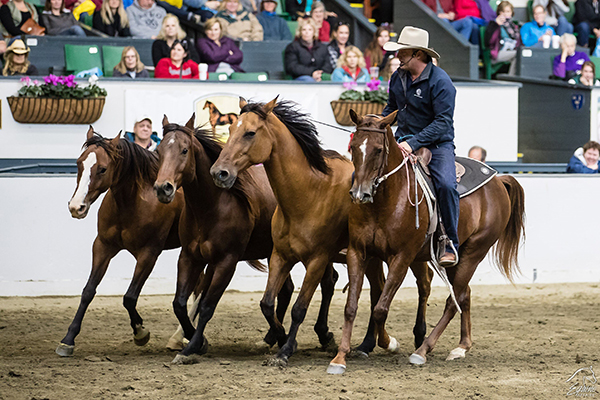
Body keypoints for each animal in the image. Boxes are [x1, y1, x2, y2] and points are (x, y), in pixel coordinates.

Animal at [59, 127, 186, 356]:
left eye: (102, 169)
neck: (135, 201)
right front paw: (68, 339)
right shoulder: (102, 246)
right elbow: (88, 291)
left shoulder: (148, 254)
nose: (76, 207)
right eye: (79, 163)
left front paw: (141, 333)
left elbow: (129, 297)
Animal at [209, 98, 434, 368]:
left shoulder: (317, 260)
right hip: (371, 258)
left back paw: (416, 337)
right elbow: (267, 304)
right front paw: (279, 337)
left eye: (250, 133)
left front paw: (285, 350)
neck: (309, 192)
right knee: (378, 290)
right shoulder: (280, 256)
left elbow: (299, 308)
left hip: (410, 255)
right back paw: (366, 344)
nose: (219, 172)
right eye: (231, 129)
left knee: (423, 283)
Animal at [328, 111, 524, 374]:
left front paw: (389, 343)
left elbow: (380, 309)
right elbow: (351, 307)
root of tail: (498, 180)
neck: (388, 199)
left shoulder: (401, 257)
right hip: (457, 259)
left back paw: (423, 350)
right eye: (353, 147)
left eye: (378, 149)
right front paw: (340, 358)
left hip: (474, 252)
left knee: (452, 301)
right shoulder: (358, 252)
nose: (360, 193)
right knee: (464, 295)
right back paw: (461, 346)